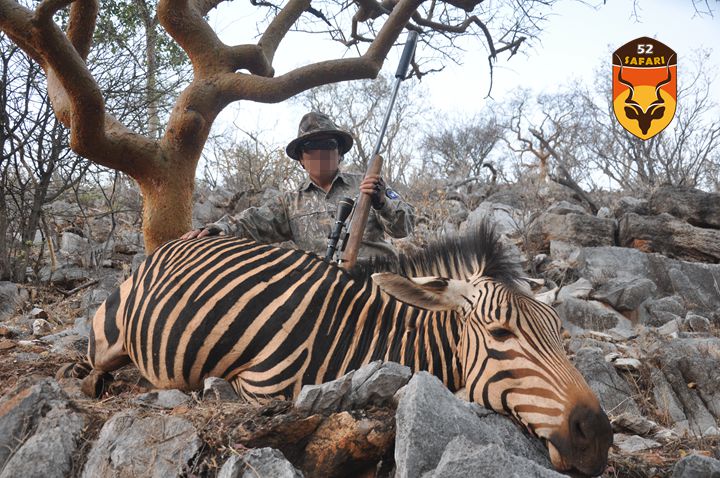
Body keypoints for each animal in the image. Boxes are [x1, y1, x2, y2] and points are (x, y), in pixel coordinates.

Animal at [63, 223, 612, 474]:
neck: (373, 336)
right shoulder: (259, 387)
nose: (599, 435)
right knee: (95, 371)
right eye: (501, 334)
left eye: (560, 335)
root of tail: (184, 238)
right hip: (109, 337)